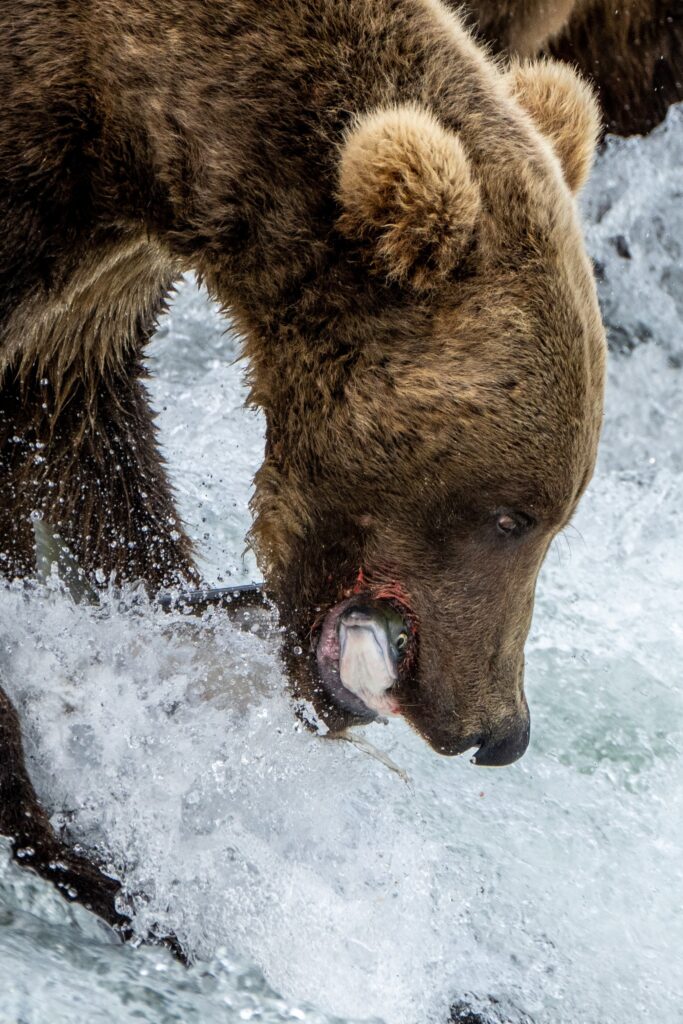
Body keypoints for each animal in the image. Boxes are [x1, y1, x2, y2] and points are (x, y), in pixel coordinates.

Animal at [0, 0, 605, 934]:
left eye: (562, 512)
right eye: (511, 516)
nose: (502, 731)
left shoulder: (89, 297)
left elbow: (89, 459)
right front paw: (80, 853)